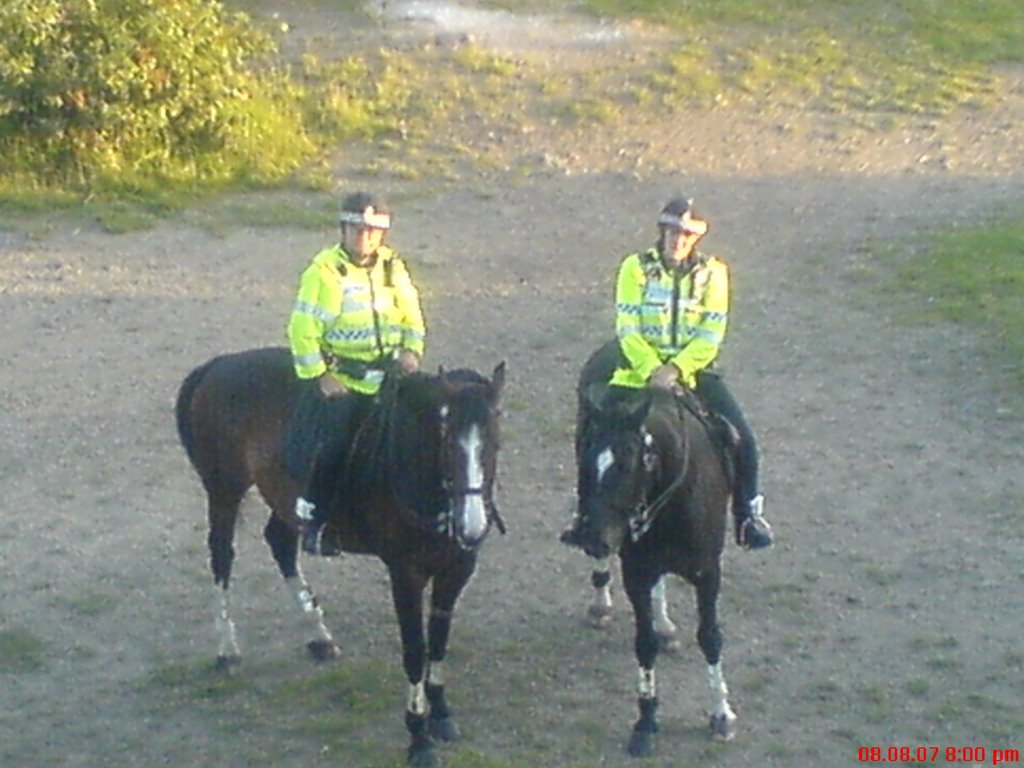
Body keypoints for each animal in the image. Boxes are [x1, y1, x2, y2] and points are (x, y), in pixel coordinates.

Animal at [178, 348, 509, 768]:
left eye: (494, 443)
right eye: (447, 442)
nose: (472, 526)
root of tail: (218, 364)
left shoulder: (458, 568)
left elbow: (438, 642)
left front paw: (442, 713)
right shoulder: (405, 574)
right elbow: (415, 650)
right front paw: (418, 736)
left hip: (284, 499)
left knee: (280, 543)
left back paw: (320, 637)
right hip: (224, 489)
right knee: (222, 557)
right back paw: (227, 650)